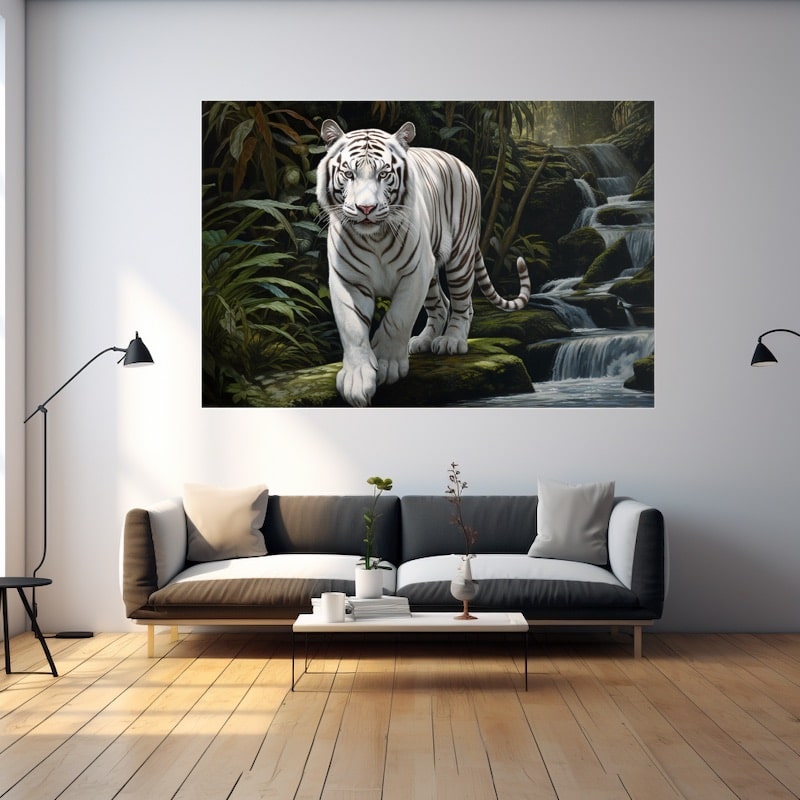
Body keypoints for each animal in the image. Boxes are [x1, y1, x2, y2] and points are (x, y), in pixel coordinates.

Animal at [317, 118, 531, 407]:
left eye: (383, 174)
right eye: (349, 174)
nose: (366, 209)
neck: (375, 238)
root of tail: (461, 163)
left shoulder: (415, 273)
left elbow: (397, 319)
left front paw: (387, 364)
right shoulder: (347, 279)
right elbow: (353, 329)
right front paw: (357, 380)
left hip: (459, 258)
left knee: (463, 304)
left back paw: (451, 341)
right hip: (431, 275)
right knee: (441, 304)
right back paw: (424, 340)